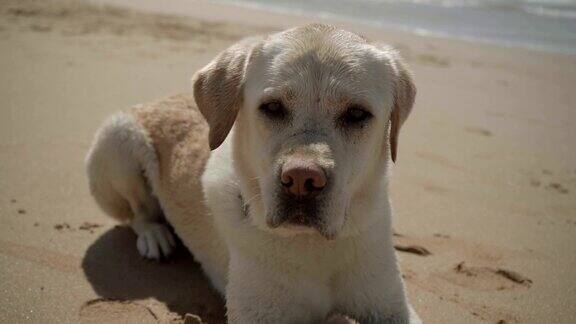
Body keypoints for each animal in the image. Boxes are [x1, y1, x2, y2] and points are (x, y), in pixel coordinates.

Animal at [84, 24, 418, 322]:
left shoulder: (393, 307)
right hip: (120, 137)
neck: (312, 245)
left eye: (357, 114)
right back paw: (154, 234)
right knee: (136, 213)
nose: (302, 180)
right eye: (272, 107)